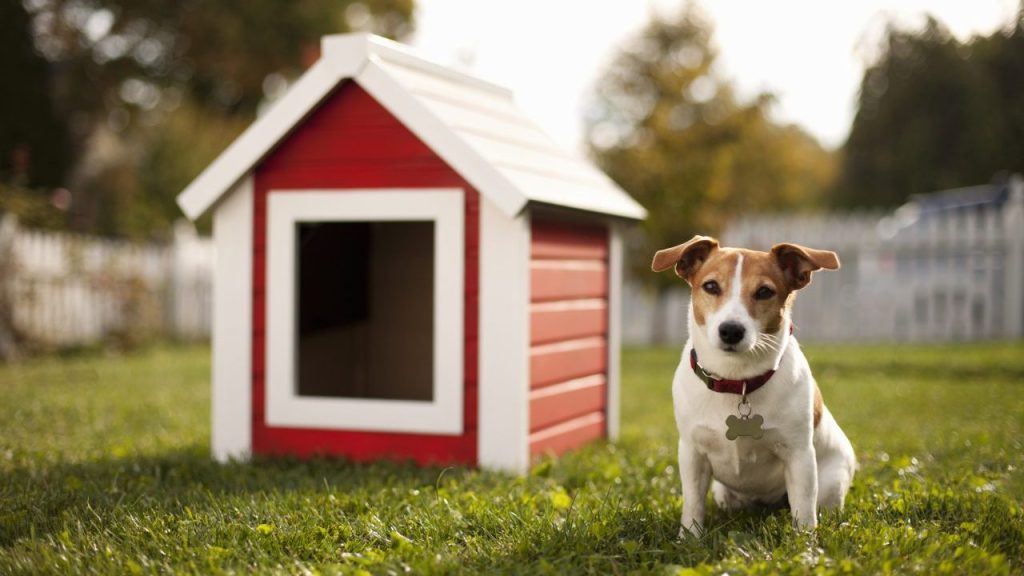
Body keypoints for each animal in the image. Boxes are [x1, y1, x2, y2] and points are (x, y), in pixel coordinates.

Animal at [655, 233, 856, 532]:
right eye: (711, 286)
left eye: (764, 292)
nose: (731, 330)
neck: (737, 380)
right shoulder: (692, 454)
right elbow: (692, 506)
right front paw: (689, 537)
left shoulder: (799, 456)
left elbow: (804, 512)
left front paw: (805, 543)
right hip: (724, 493)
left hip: (830, 482)